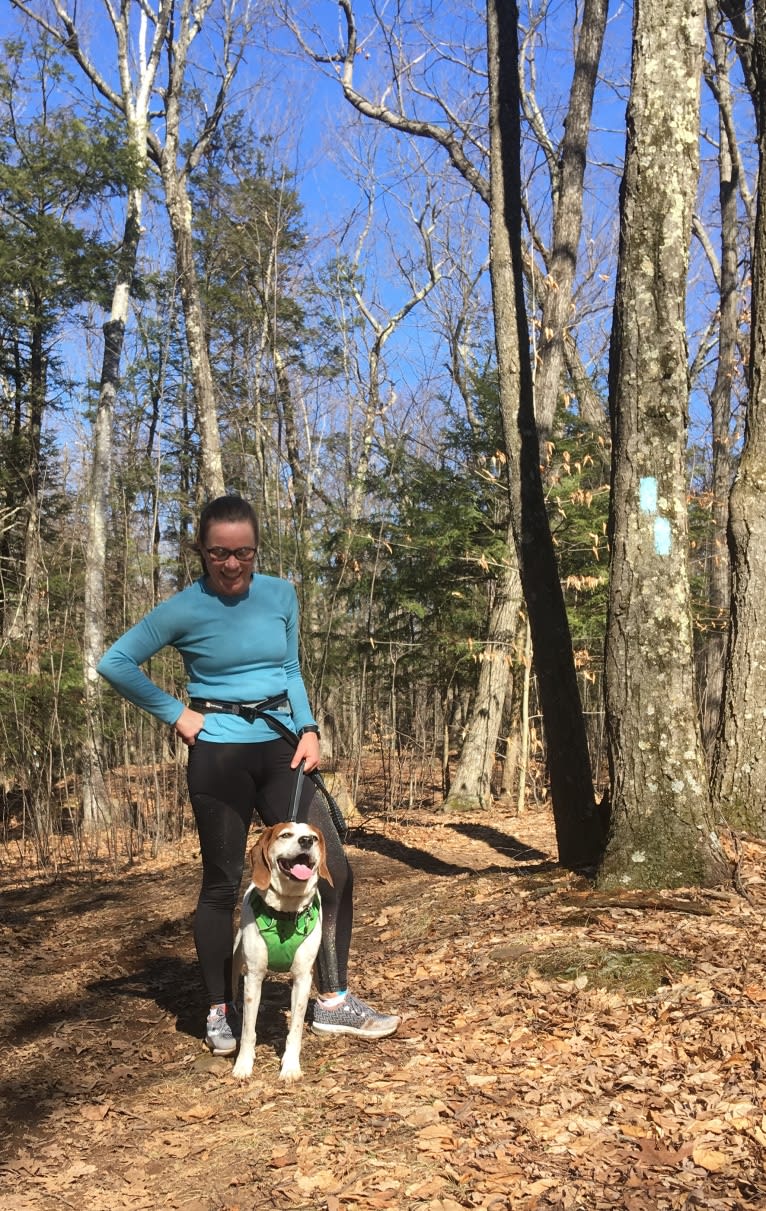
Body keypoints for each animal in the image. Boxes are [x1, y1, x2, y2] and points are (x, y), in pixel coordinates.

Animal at [229, 818, 331, 1085]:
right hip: (236, 958)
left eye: (314, 838)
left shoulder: (303, 978)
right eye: (285, 835)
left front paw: (291, 1067)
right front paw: (243, 1065)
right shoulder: (253, 975)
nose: (306, 841)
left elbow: (295, 1028)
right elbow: (248, 1030)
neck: (286, 909)